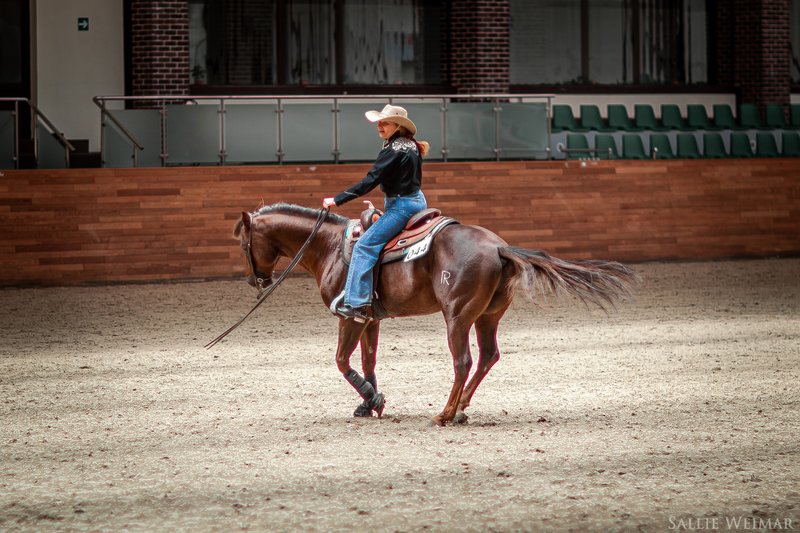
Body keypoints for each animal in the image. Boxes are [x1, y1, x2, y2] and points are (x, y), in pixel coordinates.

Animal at [231, 202, 636, 426]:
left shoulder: (348, 316)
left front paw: (373, 400)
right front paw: (368, 403)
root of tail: (499, 248)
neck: (330, 247)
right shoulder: (370, 318)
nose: (255, 279)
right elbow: (368, 360)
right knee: (488, 356)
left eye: (244, 242)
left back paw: (445, 414)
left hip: (457, 317)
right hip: (487, 316)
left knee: (464, 360)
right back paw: (461, 408)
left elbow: (342, 361)